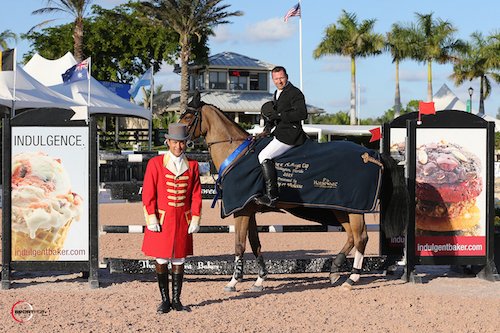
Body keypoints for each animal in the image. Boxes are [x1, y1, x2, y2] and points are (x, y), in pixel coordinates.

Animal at [181, 93, 410, 290]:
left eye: (188, 117)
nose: (176, 142)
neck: (236, 153)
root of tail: (372, 154)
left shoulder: (241, 211)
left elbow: (239, 245)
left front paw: (233, 282)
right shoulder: (249, 210)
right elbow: (255, 244)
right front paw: (260, 280)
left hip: (353, 209)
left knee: (361, 238)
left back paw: (351, 279)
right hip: (341, 208)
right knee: (352, 237)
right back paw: (335, 271)